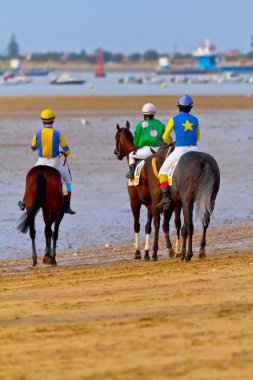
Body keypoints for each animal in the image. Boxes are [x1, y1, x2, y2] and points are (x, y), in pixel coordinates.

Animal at [112, 120, 180, 260]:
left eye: (116, 138)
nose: (116, 152)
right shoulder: (149, 205)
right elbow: (148, 227)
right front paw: (146, 252)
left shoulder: (134, 202)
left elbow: (137, 225)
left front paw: (138, 252)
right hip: (172, 203)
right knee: (175, 223)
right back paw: (176, 250)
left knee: (159, 223)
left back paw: (159, 252)